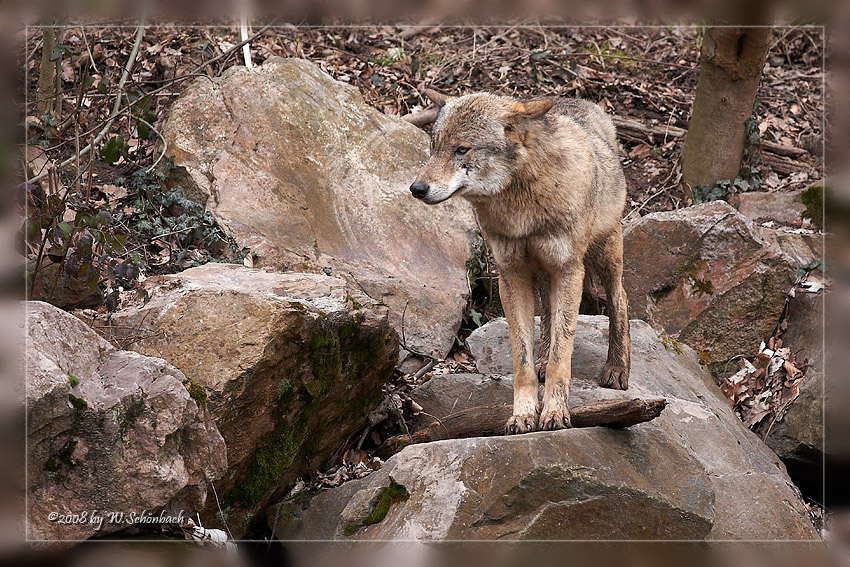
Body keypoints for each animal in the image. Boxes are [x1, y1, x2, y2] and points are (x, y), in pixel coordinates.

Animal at [410, 90, 630, 434]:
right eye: (434, 147)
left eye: (462, 149)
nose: (417, 188)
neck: (521, 210)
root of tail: (582, 102)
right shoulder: (512, 275)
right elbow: (523, 360)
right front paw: (523, 415)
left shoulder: (569, 270)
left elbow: (561, 357)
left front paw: (555, 413)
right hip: (542, 273)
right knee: (549, 319)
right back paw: (542, 361)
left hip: (603, 255)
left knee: (620, 299)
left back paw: (617, 368)